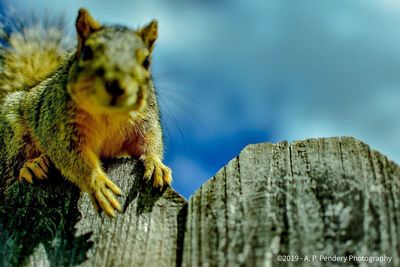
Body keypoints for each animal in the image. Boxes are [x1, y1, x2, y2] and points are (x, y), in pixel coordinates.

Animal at [0, 7, 170, 218]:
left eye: (146, 61)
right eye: (87, 52)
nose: (116, 84)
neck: (108, 113)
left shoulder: (146, 119)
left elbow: (150, 142)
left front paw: (156, 165)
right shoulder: (61, 128)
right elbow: (74, 158)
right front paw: (97, 184)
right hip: (14, 132)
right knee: (11, 168)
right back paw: (31, 166)